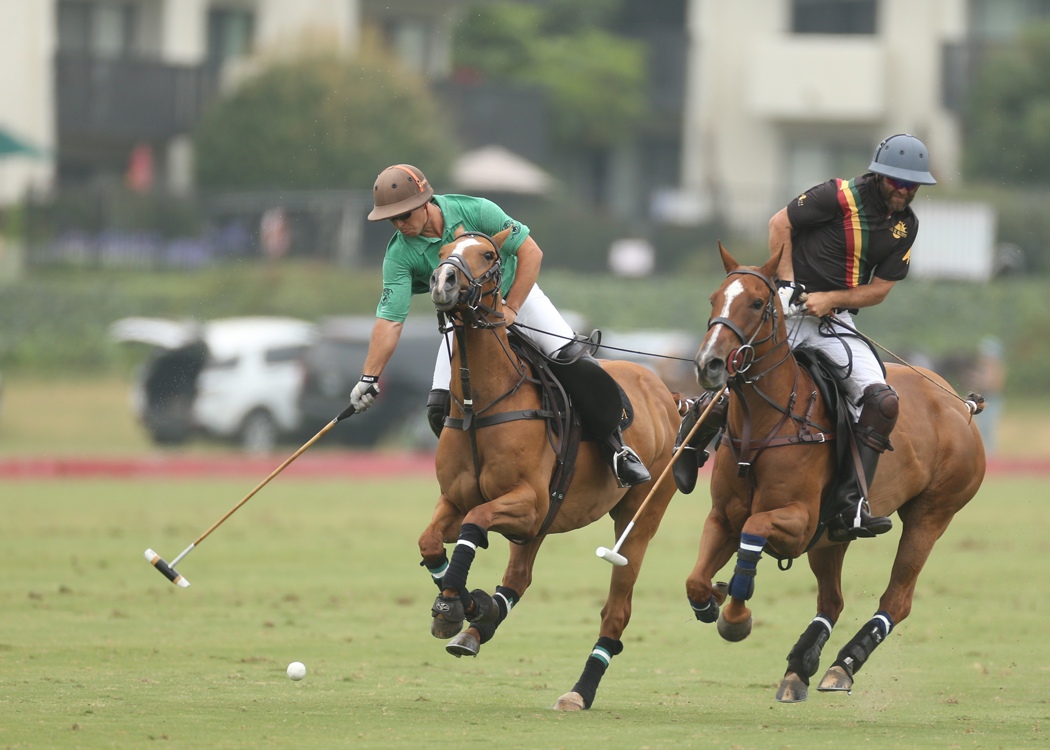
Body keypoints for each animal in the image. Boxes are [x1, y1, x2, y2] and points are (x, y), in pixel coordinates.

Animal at [418, 226, 681, 711]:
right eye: (443, 251)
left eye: (488, 255)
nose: (443, 281)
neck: (481, 404)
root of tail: (666, 390)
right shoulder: (460, 500)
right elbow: (431, 540)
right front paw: (462, 605)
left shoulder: (529, 502)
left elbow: (475, 522)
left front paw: (458, 604)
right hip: (542, 523)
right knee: (518, 578)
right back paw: (479, 626)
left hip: (638, 515)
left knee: (617, 608)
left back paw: (579, 691)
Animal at [684, 242, 986, 702]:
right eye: (714, 298)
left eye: (756, 303)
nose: (709, 364)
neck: (766, 424)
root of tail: (958, 402)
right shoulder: (723, 517)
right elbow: (696, 580)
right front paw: (713, 599)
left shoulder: (799, 521)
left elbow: (754, 530)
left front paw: (735, 617)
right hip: (831, 539)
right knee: (832, 602)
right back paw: (799, 667)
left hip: (932, 514)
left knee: (897, 599)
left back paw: (843, 665)